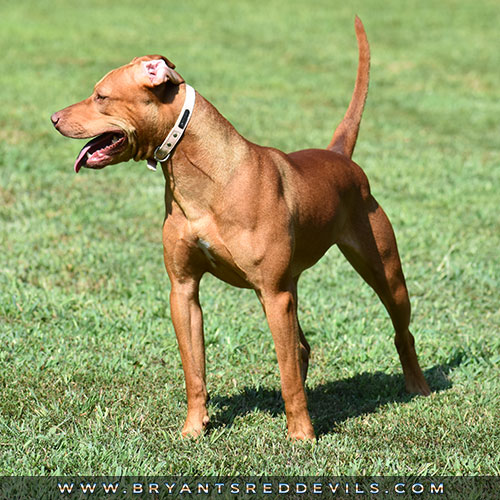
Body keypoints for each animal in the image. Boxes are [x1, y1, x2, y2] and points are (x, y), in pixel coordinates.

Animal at [52, 18, 432, 442]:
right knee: (301, 348)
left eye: (100, 96)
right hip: (290, 288)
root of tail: (339, 156)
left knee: (400, 331)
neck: (208, 178)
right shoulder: (184, 291)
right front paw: (194, 428)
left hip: (381, 273)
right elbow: (195, 370)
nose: (53, 118)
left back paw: (417, 386)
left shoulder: (274, 294)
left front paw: (302, 435)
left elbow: (287, 376)